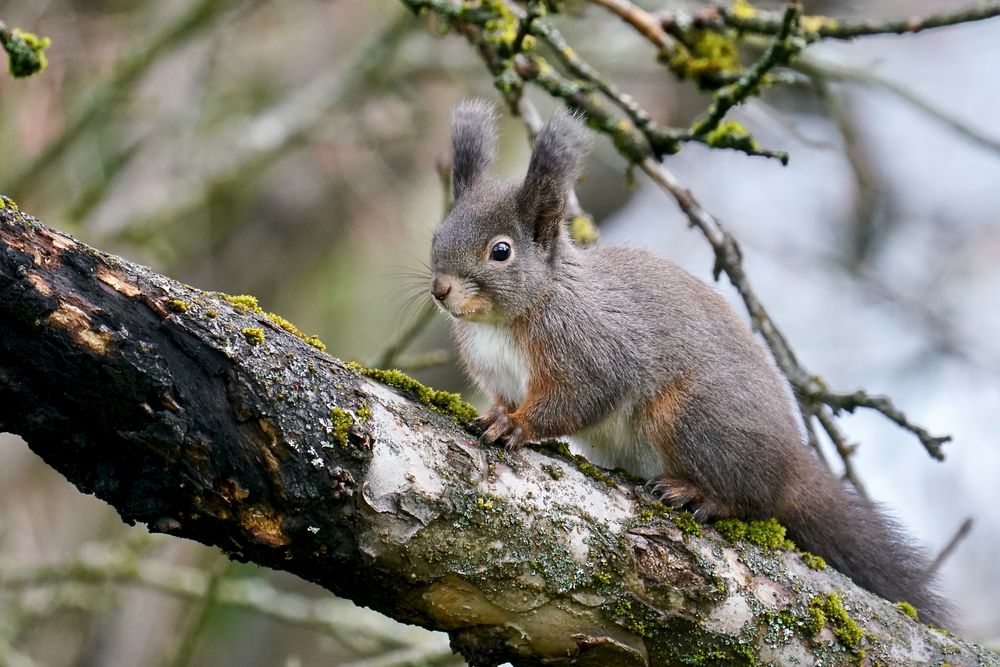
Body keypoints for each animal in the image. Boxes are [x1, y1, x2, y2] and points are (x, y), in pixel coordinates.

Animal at [426, 99, 948, 628]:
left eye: (501, 251)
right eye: (437, 233)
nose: (440, 289)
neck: (506, 320)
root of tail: (791, 466)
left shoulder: (591, 351)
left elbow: (578, 399)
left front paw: (518, 426)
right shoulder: (497, 372)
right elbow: (503, 397)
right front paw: (497, 414)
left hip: (688, 418)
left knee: (755, 500)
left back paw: (701, 495)